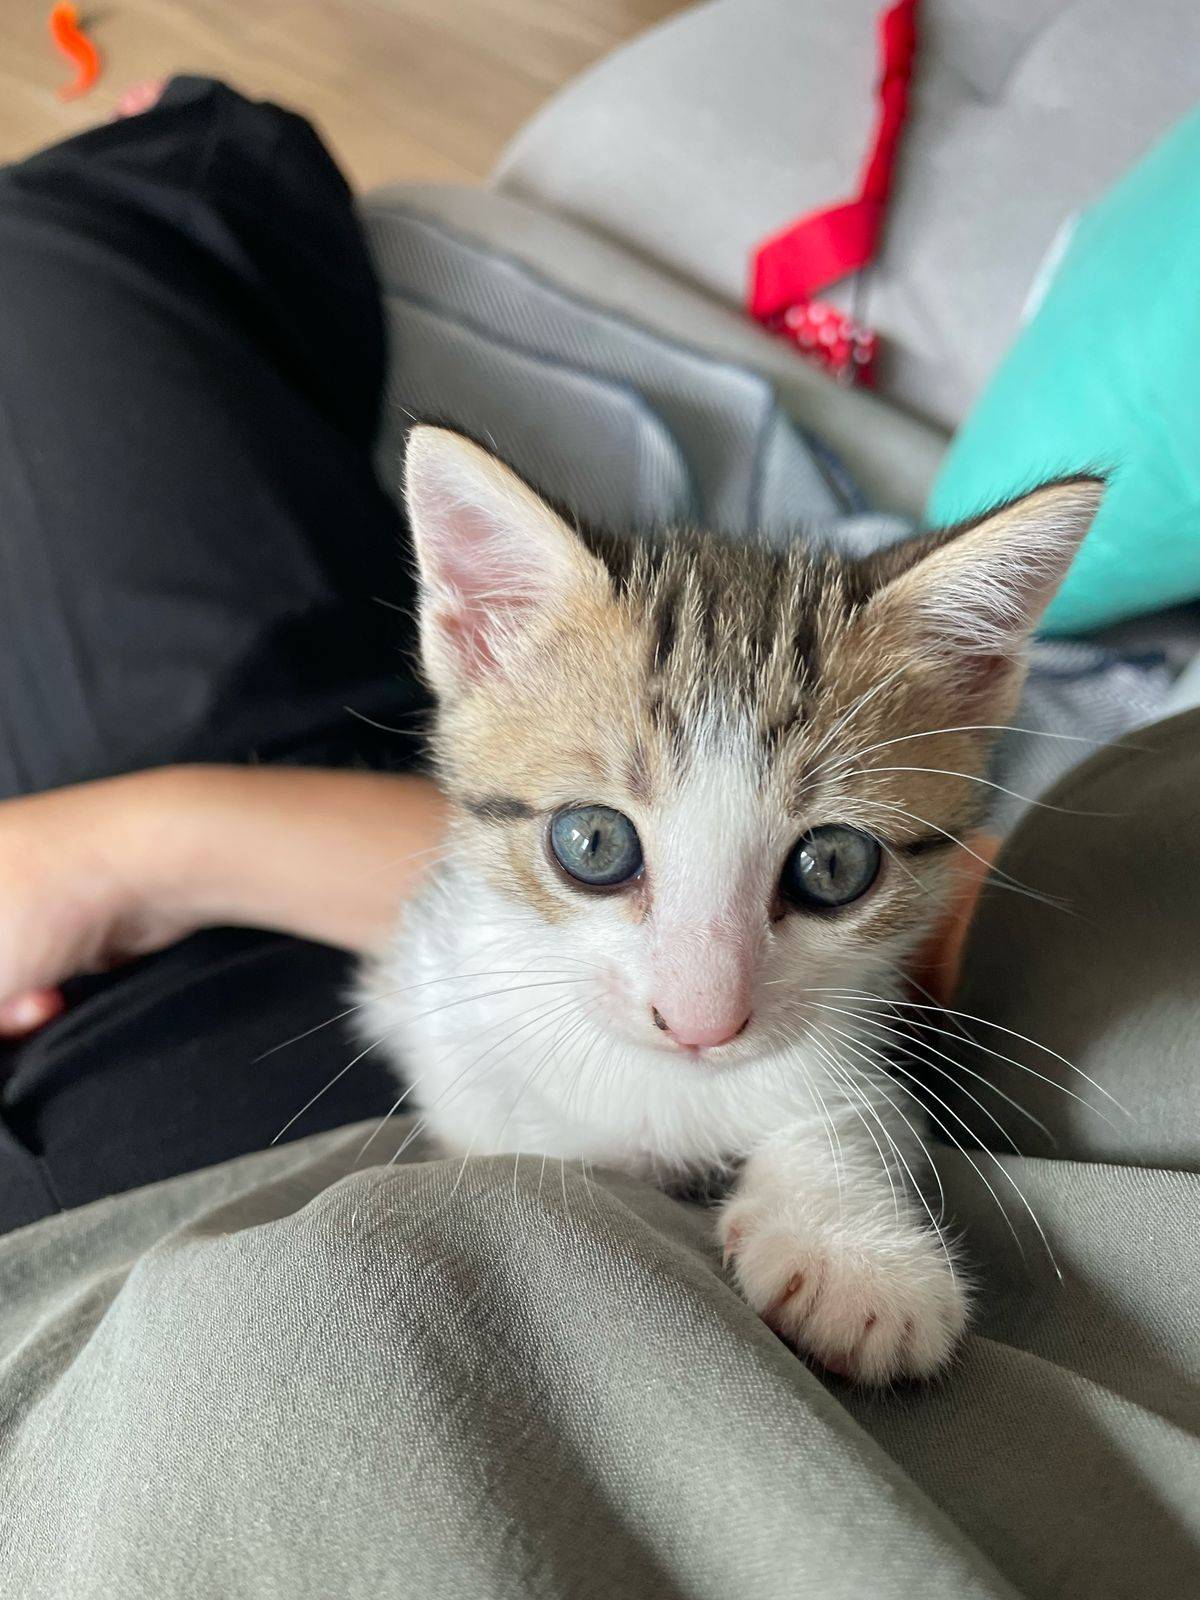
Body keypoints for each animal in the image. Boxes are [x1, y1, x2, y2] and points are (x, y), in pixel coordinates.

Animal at [360, 425, 1102, 1385]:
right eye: (592, 843)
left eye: (834, 864)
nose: (701, 1023)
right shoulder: (440, 1009)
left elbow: (850, 1109)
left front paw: (852, 1256)